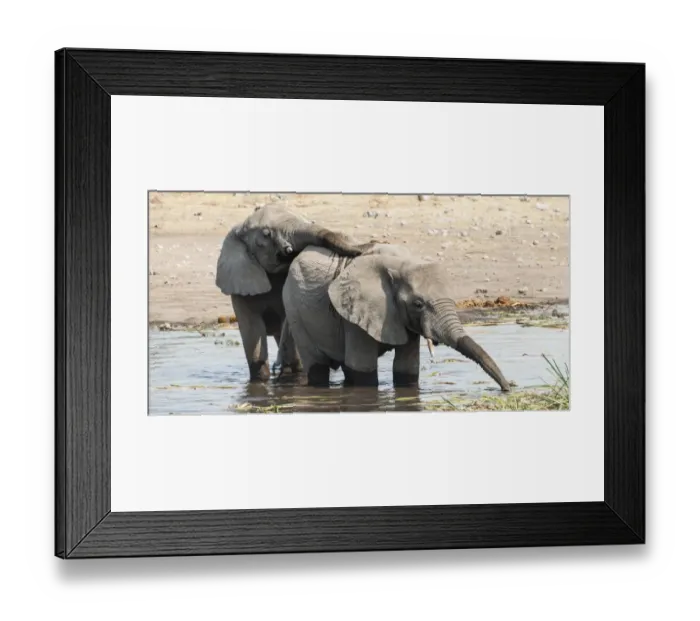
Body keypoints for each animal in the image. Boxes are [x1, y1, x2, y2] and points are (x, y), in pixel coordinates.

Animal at [280, 244, 512, 391]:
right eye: (418, 304)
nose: (508, 388)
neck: (400, 262)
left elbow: (406, 368)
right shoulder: (355, 313)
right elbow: (363, 370)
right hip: (294, 309)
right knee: (317, 366)